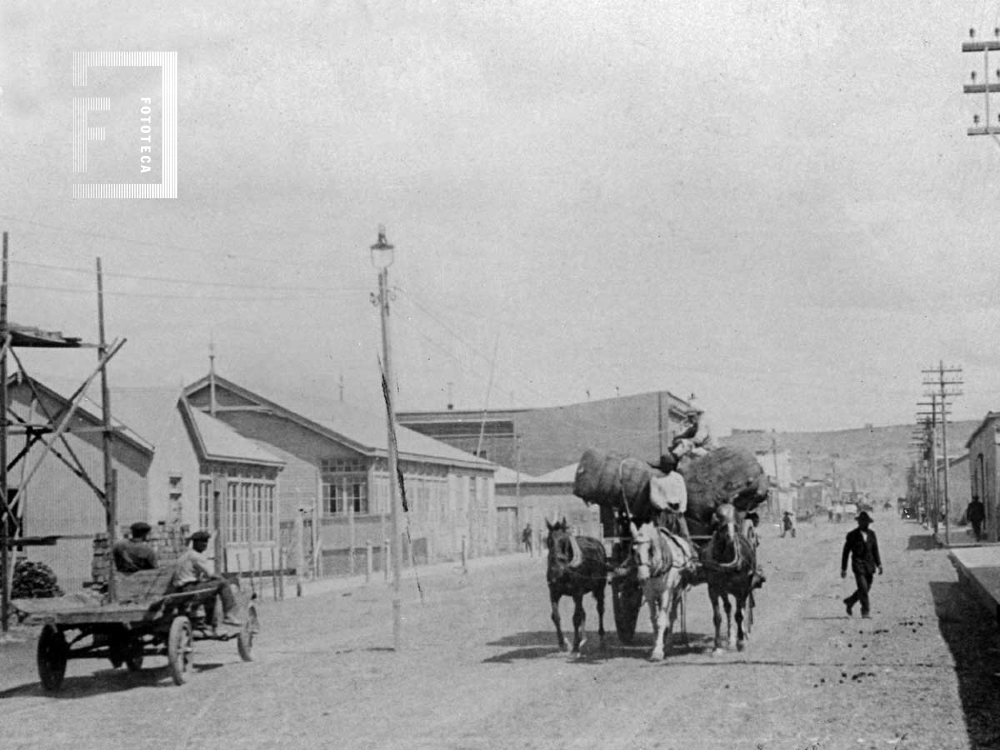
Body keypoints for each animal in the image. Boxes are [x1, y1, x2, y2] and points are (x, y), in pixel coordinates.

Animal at [548, 520, 608, 656]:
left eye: (564, 540)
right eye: (548, 540)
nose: (555, 570)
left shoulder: (577, 593)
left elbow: (576, 618)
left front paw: (575, 647)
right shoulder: (554, 592)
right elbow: (556, 616)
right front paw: (563, 644)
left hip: (599, 588)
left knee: (600, 609)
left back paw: (601, 639)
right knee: (583, 612)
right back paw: (583, 639)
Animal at [632, 520, 696, 660]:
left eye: (650, 550)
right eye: (633, 550)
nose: (642, 578)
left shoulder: (666, 592)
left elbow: (662, 620)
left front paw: (658, 652)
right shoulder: (649, 594)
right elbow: (654, 620)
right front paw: (655, 645)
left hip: (677, 591)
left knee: (672, 615)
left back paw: (669, 645)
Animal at [700, 506, 752, 656]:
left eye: (736, 521)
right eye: (719, 518)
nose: (731, 537)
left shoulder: (741, 588)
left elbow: (739, 615)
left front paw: (741, 642)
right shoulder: (713, 588)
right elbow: (717, 617)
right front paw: (717, 646)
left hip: (746, 588)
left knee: (743, 608)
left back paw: (744, 634)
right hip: (724, 591)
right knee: (728, 607)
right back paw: (730, 637)